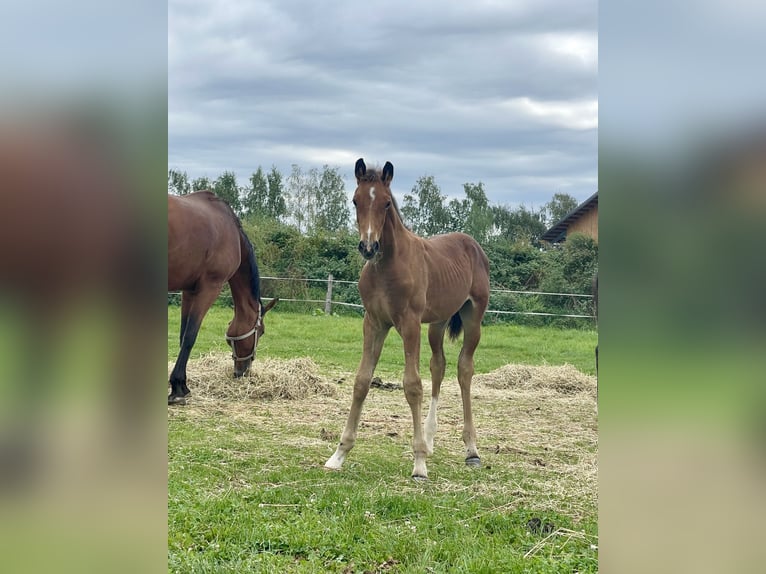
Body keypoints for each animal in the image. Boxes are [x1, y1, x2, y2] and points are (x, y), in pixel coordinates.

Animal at [168, 192, 280, 404]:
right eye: (261, 332)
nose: (243, 372)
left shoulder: (189, 291)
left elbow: (182, 335)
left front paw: (179, 384)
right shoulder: (210, 287)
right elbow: (190, 337)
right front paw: (178, 387)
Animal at [326, 159, 492, 482]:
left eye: (387, 203)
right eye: (355, 200)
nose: (368, 247)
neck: (386, 266)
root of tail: (472, 244)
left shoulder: (410, 324)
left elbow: (412, 385)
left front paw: (418, 464)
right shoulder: (374, 322)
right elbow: (362, 381)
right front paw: (339, 454)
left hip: (473, 317)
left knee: (464, 369)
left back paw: (471, 450)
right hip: (438, 322)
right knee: (438, 366)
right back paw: (429, 439)